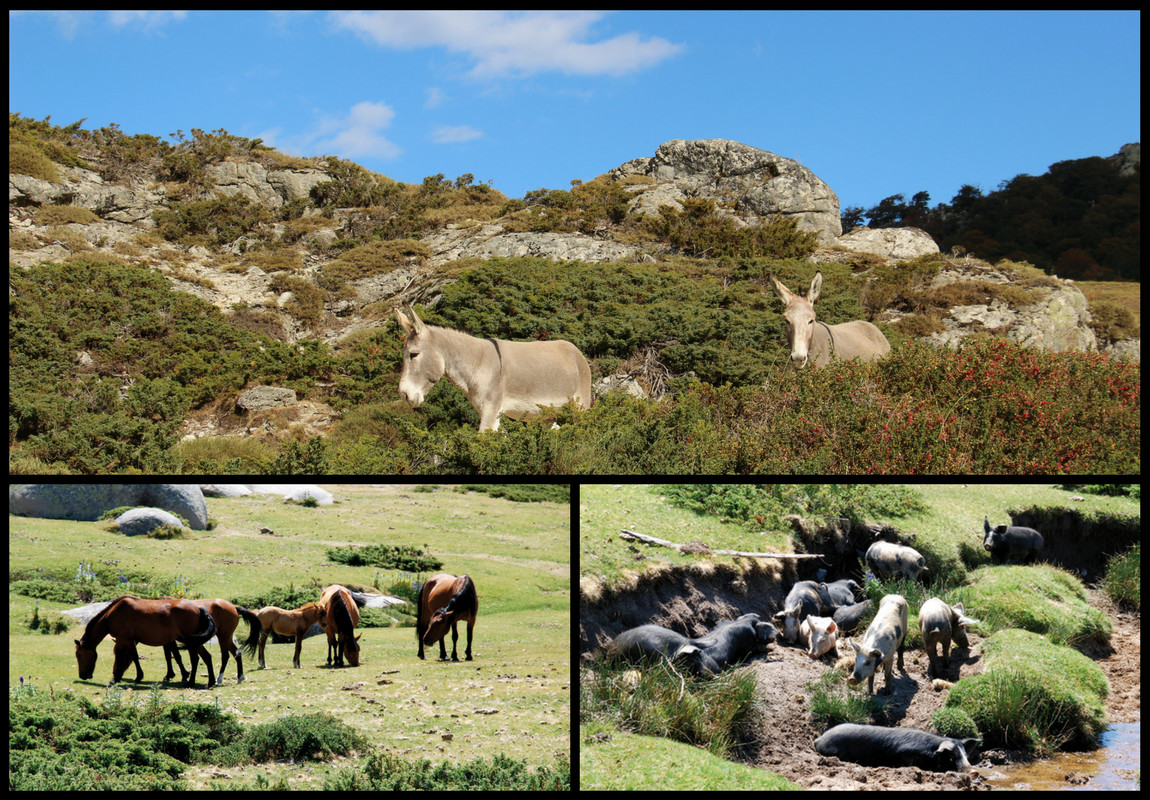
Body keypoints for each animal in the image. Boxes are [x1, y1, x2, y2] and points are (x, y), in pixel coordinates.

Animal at [73, 593, 216, 689]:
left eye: (79, 655)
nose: (82, 675)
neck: (113, 614)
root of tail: (198, 608)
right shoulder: (130, 640)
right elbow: (135, 657)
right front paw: (138, 676)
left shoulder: (122, 639)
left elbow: (121, 656)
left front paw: (116, 678)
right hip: (194, 642)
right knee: (206, 657)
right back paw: (210, 682)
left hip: (190, 641)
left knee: (195, 659)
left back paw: (191, 682)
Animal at [397, 305, 593, 432]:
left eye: (413, 354)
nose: (404, 394)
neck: (477, 362)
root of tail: (576, 352)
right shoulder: (490, 413)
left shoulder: (491, 410)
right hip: (546, 415)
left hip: (580, 406)